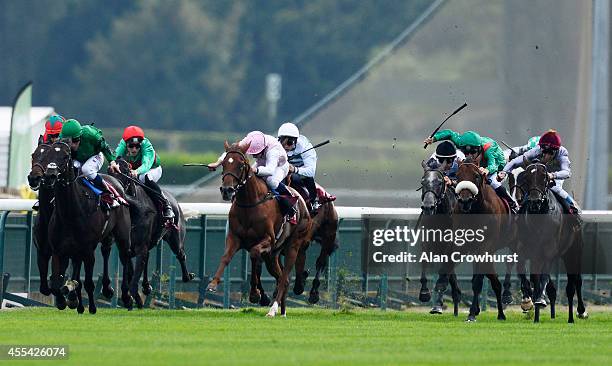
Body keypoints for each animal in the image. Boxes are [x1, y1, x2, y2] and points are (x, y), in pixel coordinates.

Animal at [41, 142, 135, 314]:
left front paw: (90, 306)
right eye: (47, 155)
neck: (70, 212)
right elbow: (57, 283)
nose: (50, 175)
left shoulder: (87, 250)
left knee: (125, 257)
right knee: (105, 251)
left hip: (123, 234)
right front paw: (66, 300)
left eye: (65, 156)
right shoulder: (59, 250)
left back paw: (126, 296)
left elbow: (89, 282)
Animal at [110, 159, 194, 308]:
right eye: (109, 171)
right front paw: (131, 297)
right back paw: (146, 286)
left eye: (124, 173)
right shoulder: (125, 249)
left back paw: (187, 276)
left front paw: (133, 298)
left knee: (181, 254)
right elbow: (131, 271)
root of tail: (175, 202)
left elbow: (134, 277)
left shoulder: (140, 247)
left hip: (175, 238)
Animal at [207, 142, 310, 316]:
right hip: (273, 255)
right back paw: (282, 311)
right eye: (224, 163)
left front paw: (256, 294)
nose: (227, 190)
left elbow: (254, 255)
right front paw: (213, 284)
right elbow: (226, 257)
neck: (250, 204)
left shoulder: (267, 240)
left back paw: (273, 309)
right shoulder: (235, 237)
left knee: (284, 277)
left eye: (241, 165)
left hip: (293, 246)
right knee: (282, 278)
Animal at [418, 162, 462, 316]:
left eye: (439, 182)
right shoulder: (427, 243)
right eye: (423, 182)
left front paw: (438, 303)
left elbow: (443, 276)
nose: (428, 206)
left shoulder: (451, 247)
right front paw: (424, 293)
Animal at [520, 163, 584, 324]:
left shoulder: (548, 251)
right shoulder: (530, 251)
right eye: (527, 178)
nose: (535, 201)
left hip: (574, 251)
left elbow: (543, 277)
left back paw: (578, 313)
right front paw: (532, 305)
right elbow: (532, 277)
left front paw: (540, 300)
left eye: (544, 178)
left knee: (575, 283)